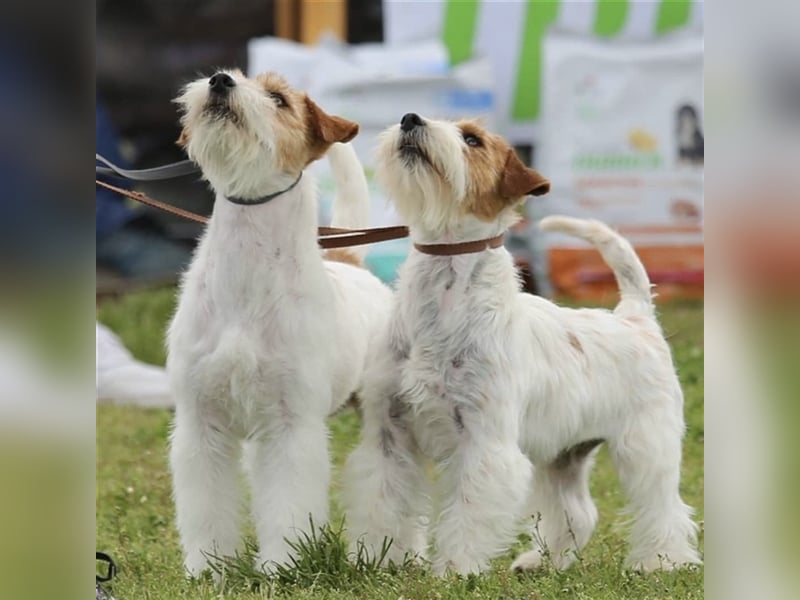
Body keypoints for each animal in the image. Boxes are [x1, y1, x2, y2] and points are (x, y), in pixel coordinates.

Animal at [169, 70, 394, 576]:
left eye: (278, 99)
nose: (220, 80)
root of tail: (352, 263)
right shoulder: (201, 421)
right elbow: (207, 504)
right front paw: (208, 567)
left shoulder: (291, 426)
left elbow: (288, 502)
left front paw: (280, 567)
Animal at [344, 113, 700, 576]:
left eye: (472, 140)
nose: (410, 119)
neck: (444, 294)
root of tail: (636, 316)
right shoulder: (390, 434)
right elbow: (382, 500)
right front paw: (376, 558)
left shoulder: (484, 442)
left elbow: (468, 509)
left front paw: (455, 569)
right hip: (565, 454)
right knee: (577, 511)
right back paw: (541, 561)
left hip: (646, 445)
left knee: (663, 508)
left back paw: (661, 561)